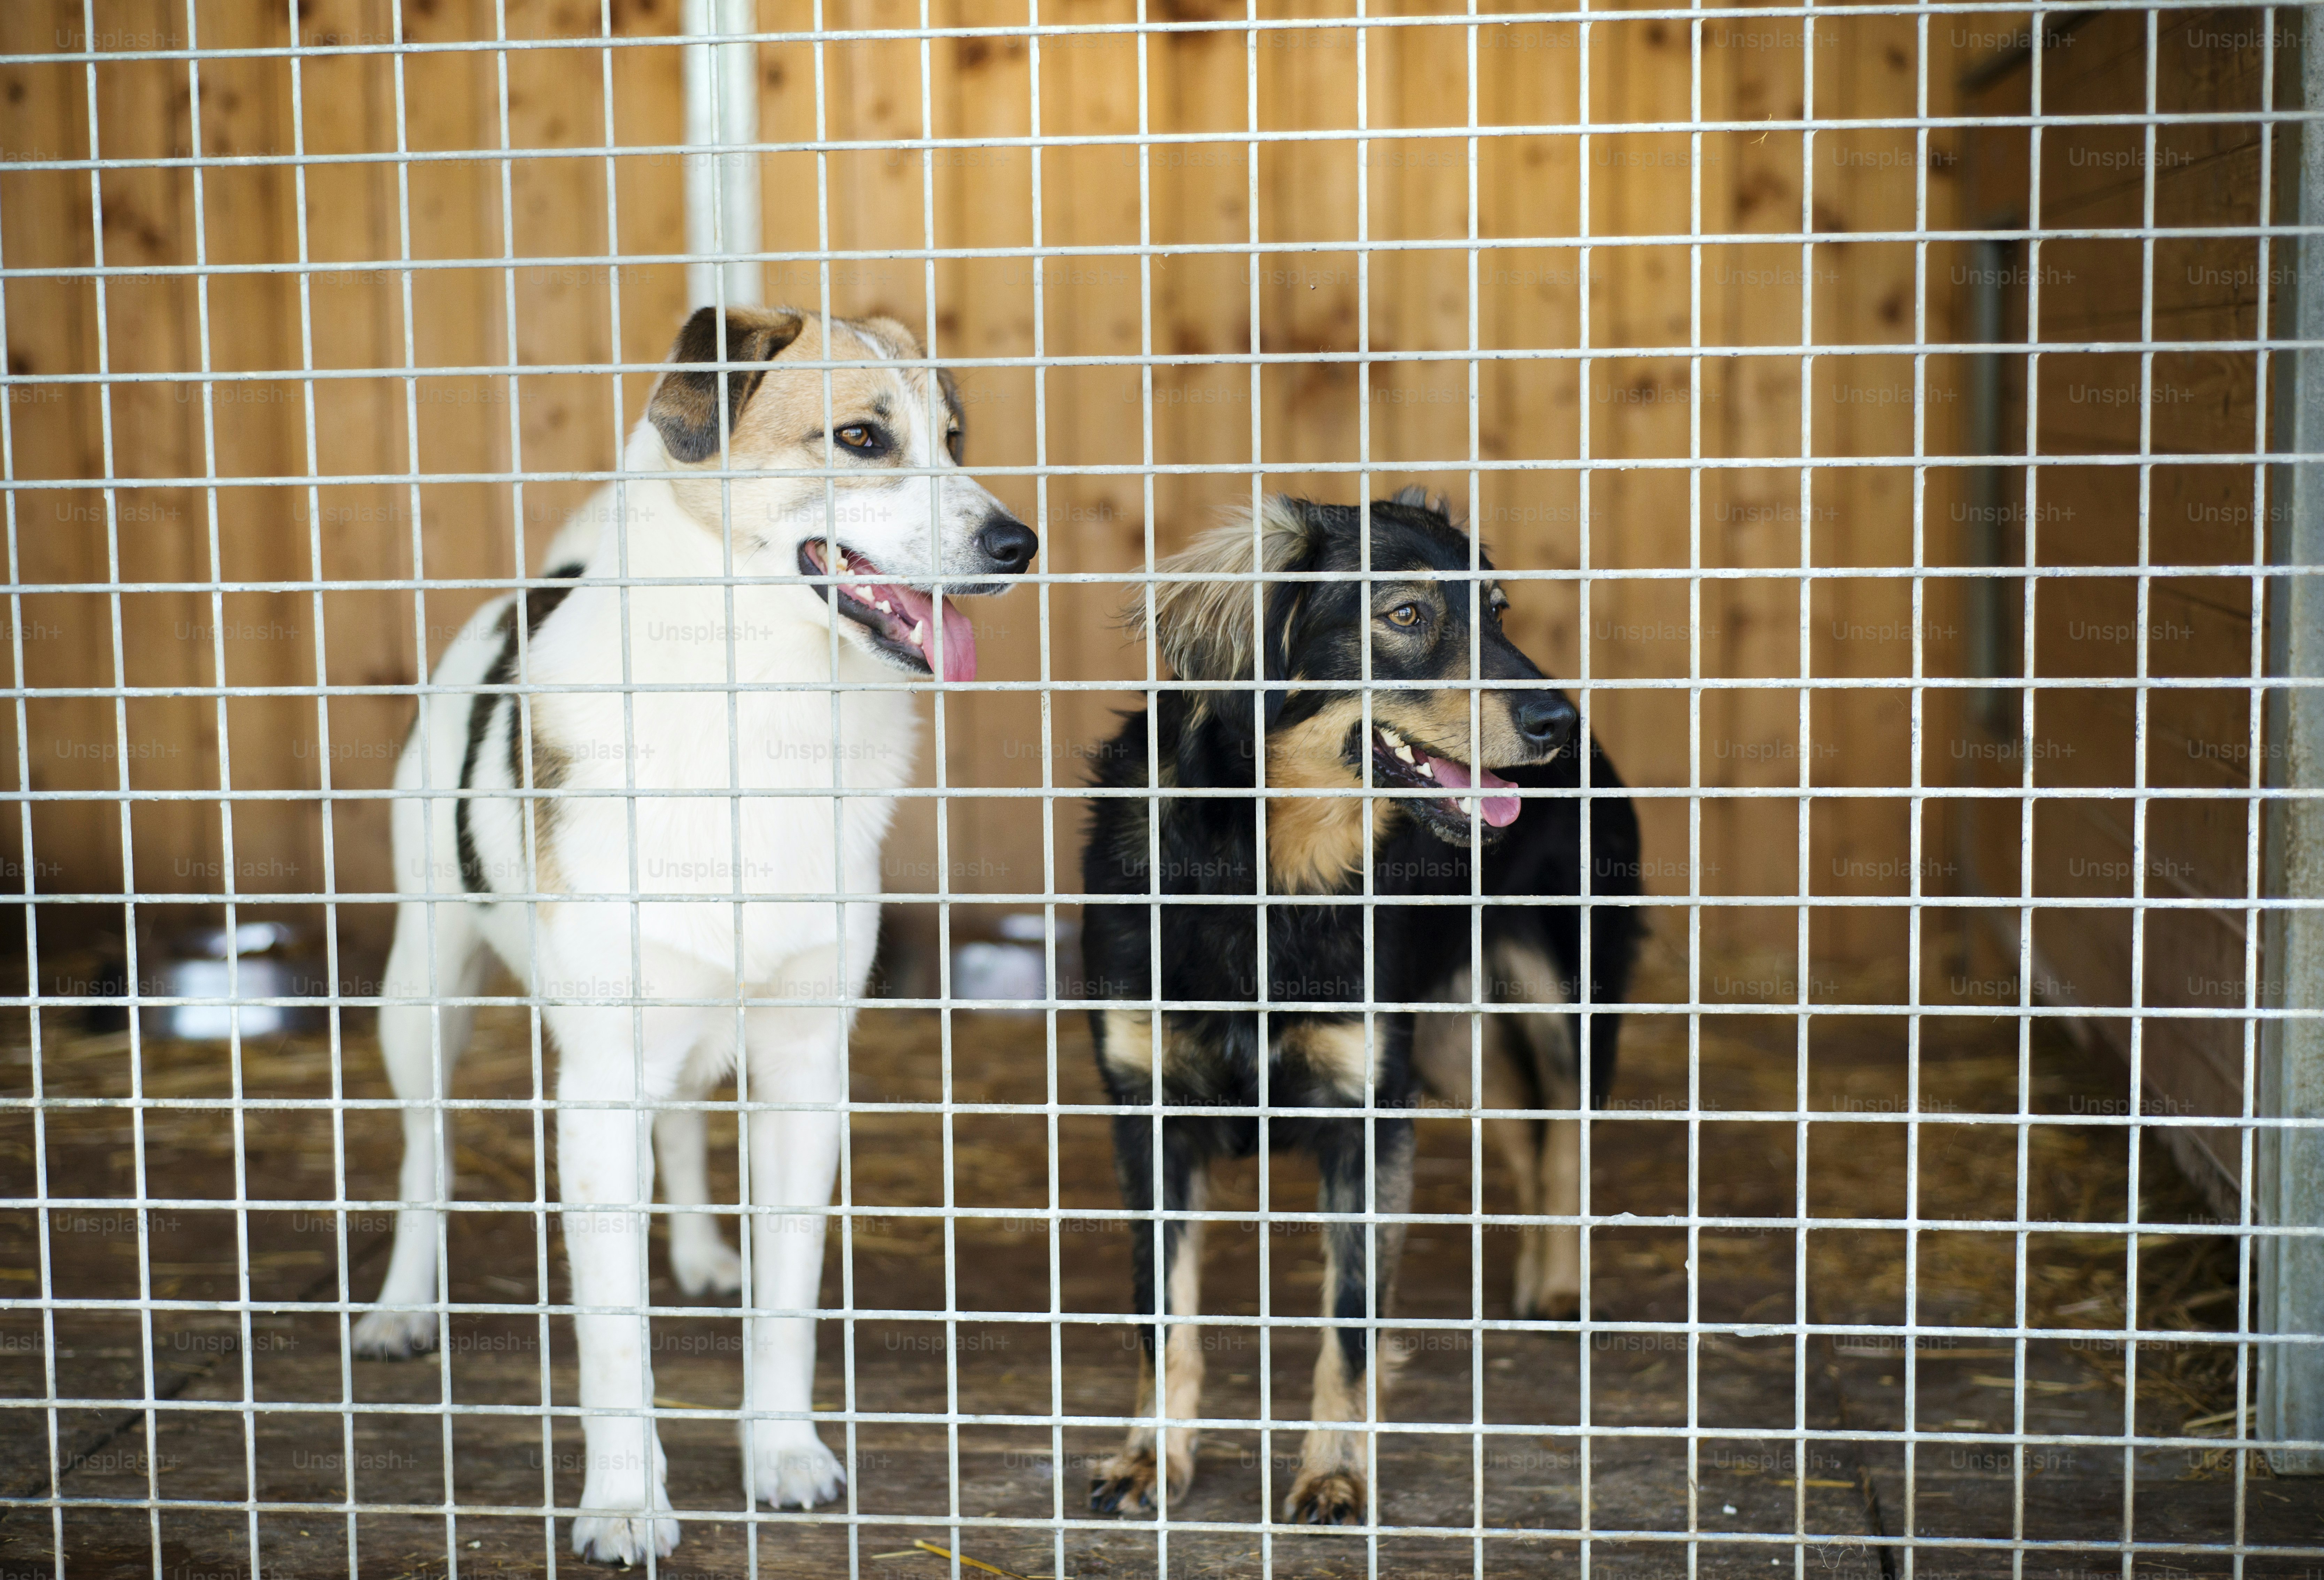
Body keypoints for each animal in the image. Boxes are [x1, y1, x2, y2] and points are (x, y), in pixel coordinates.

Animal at [351, 302, 1036, 1561]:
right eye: (862, 437)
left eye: (956, 439)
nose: (1020, 543)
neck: (755, 702)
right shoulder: (599, 1083)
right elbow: (615, 1336)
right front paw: (625, 1501)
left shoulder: (806, 1072)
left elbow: (788, 1303)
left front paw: (783, 1451)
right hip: (423, 990)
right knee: (427, 1153)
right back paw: (402, 1306)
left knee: (679, 1128)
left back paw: (703, 1252)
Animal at [1078, 488, 1645, 1524]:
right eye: (1408, 616)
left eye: (1497, 613)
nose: (1558, 720)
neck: (1274, 871)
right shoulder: (1150, 1113)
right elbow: (1160, 1312)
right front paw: (1151, 1457)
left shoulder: (1367, 1116)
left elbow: (1348, 1321)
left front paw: (1336, 1472)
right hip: (1447, 1047)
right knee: (1527, 1131)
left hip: (1564, 998)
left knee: (1569, 1137)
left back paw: (1562, 1287)